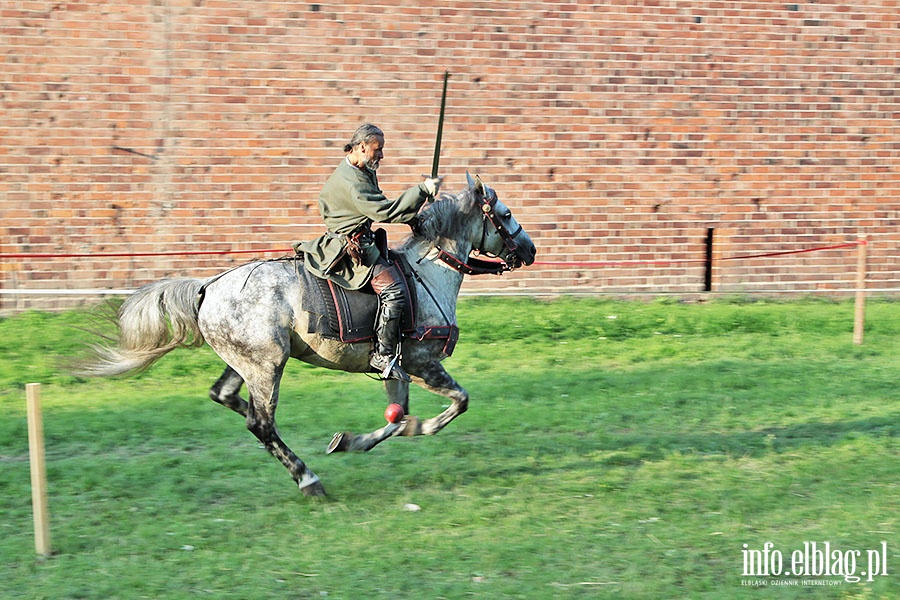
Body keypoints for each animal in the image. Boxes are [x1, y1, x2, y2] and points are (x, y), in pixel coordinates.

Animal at [86, 173, 536, 496]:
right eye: (505, 213)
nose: (530, 250)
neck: (428, 274)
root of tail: (208, 288)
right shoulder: (422, 364)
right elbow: (455, 404)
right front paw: (391, 433)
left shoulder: (399, 370)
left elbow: (399, 416)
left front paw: (371, 436)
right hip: (267, 366)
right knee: (261, 422)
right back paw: (308, 479)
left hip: (246, 362)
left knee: (228, 398)